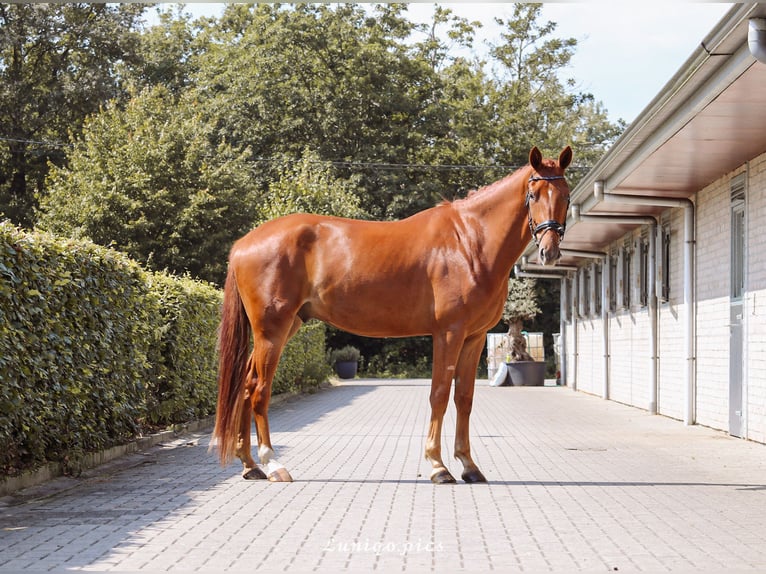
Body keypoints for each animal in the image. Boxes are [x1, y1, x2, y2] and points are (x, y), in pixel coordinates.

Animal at [213, 145, 572, 486]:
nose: (549, 251)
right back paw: (273, 464)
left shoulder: (474, 336)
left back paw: (250, 466)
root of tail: (243, 243)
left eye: (566, 195)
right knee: (260, 389)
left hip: (285, 327)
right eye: (533, 194)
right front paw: (438, 466)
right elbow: (440, 394)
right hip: (272, 330)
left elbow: (464, 398)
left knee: (246, 385)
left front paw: (469, 466)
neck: (469, 242)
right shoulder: (449, 333)